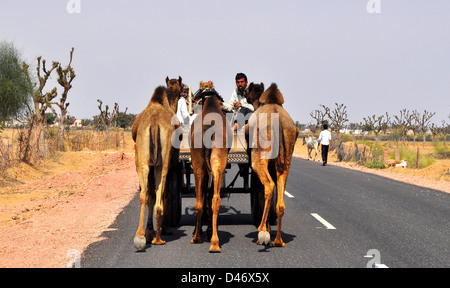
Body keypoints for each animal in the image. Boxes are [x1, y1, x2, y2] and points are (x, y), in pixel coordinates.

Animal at [132, 76, 183, 250]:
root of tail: (154, 123)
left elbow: (150, 196)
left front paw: (149, 232)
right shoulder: (173, 163)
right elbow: (166, 194)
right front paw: (165, 228)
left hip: (142, 161)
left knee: (144, 195)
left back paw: (140, 237)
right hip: (164, 163)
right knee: (161, 195)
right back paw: (159, 238)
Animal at [189, 86, 232, 252]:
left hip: (199, 164)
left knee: (202, 200)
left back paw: (199, 237)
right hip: (216, 162)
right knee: (213, 199)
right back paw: (212, 241)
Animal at [244, 82, 300, 246]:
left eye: (247, 90)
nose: (244, 93)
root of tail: (278, 122)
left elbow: (261, 193)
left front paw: (266, 231)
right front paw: (270, 231)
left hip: (259, 155)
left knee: (269, 186)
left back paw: (261, 231)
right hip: (287, 158)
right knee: (280, 201)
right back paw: (278, 241)